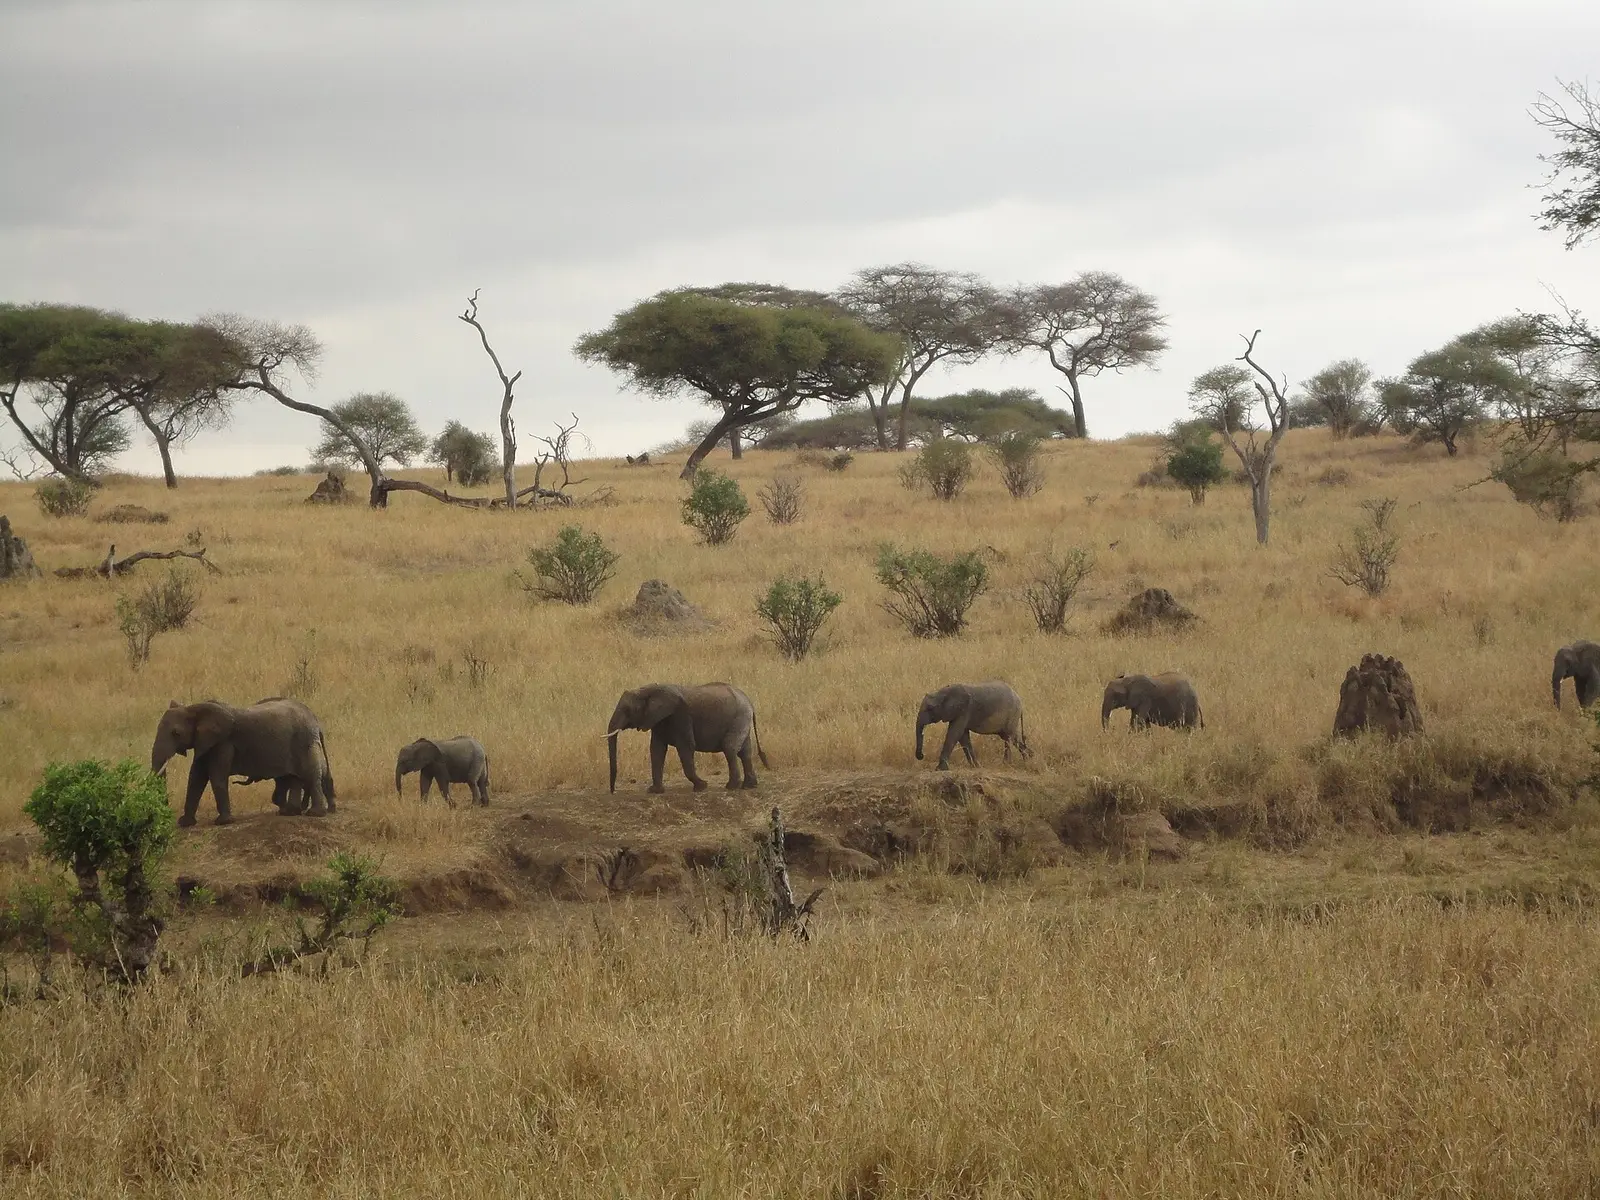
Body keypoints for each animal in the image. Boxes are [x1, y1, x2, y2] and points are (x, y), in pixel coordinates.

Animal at [151, 696, 335, 826]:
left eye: (176, 733)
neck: (193, 708)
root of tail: (315, 720)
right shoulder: (205, 742)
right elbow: (196, 778)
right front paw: (185, 823)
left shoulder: (223, 743)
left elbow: (216, 777)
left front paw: (223, 822)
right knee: (294, 777)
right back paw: (290, 812)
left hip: (304, 742)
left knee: (310, 774)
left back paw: (315, 814)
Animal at [606, 683, 768, 794]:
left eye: (627, 710)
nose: (613, 791)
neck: (649, 689)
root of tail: (749, 701)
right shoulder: (658, 720)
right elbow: (657, 750)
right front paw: (655, 791)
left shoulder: (681, 716)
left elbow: (686, 747)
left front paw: (701, 786)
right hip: (742, 719)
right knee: (745, 751)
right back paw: (749, 786)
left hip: (739, 717)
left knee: (730, 747)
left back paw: (731, 787)